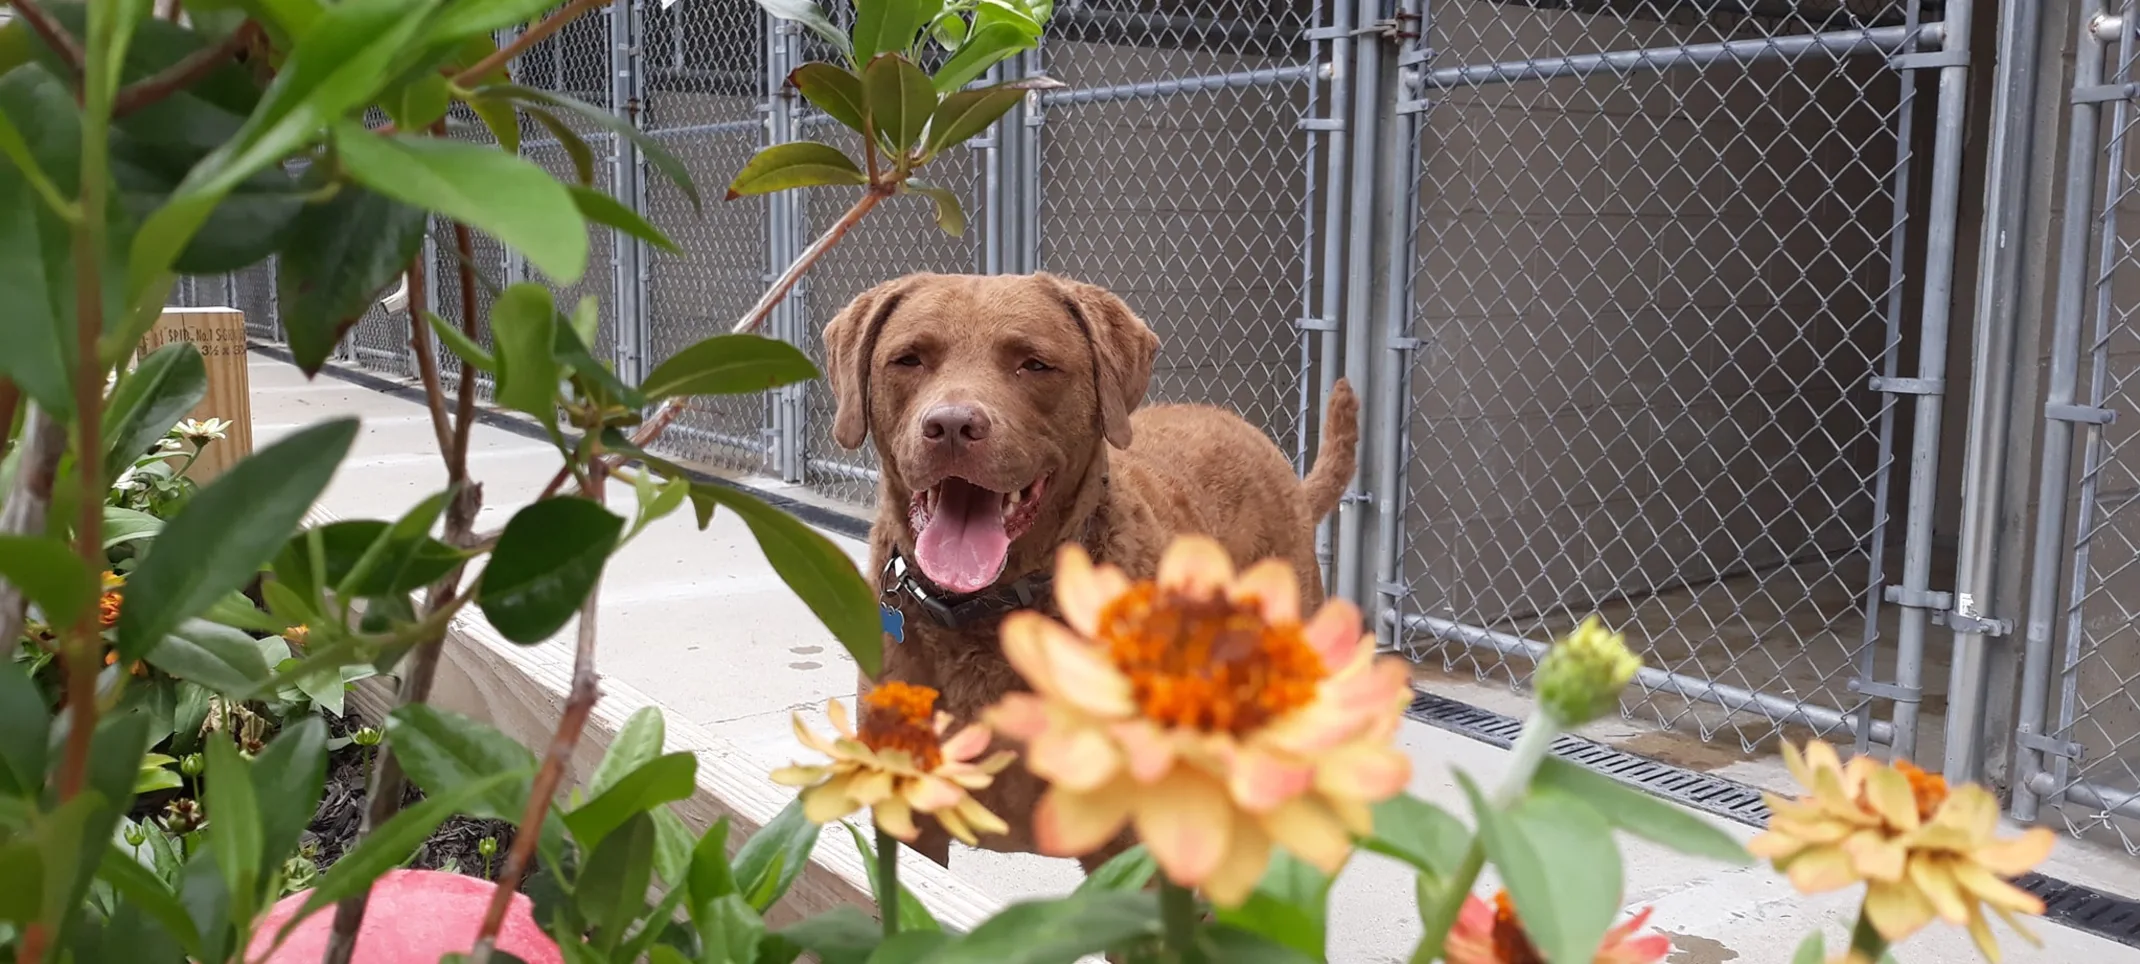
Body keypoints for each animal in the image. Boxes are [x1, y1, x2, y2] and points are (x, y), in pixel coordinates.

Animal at [817, 273, 1352, 874]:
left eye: (1033, 364)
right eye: (908, 359)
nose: (952, 424)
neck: (988, 611)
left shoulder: (1129, 841)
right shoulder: (910, 816)